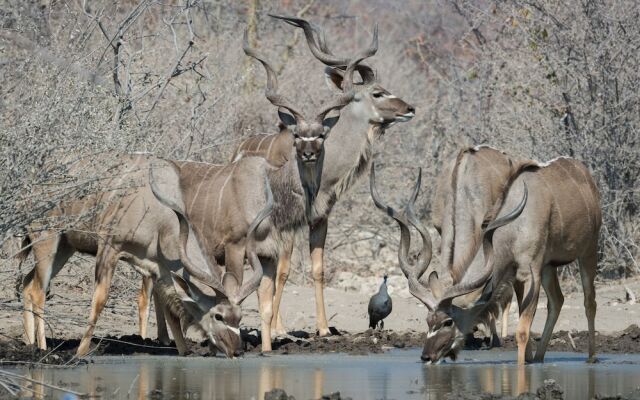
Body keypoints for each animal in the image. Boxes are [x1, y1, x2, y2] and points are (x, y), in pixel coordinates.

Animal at [230, 14, 416, 338]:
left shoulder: (319, 220)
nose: (410, 108)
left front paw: (324, 328)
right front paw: (278, 330)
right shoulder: (287, 224)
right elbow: (283, 271)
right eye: (377, 93)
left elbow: (318, 270)